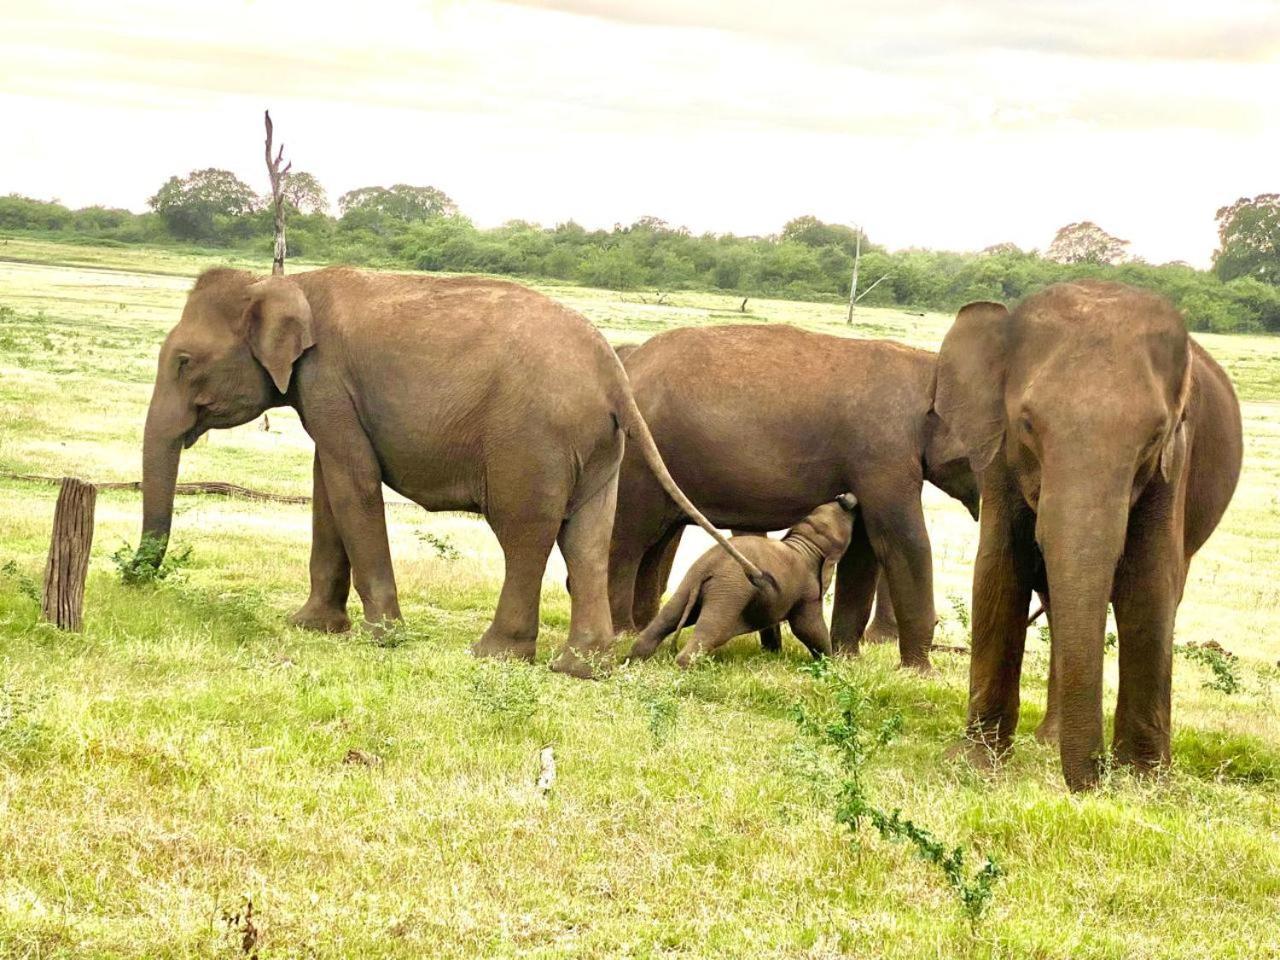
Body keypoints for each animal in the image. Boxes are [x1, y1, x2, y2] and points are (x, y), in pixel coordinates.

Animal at [137, 267, 768, 680]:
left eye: (184, 362)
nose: (137, 578)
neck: (290, 281)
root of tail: (612, 371)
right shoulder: (323, 393)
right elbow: (327, 485)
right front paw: (311, 626)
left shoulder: (329, 381)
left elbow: (351, 483)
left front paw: (385, 637)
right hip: (599, 449)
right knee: (590, 537)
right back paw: (580, 668)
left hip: (529, 441)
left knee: (525, 535)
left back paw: (494, 655)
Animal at [624, 496, 855, 670]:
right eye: (847, 522)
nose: (845, 497)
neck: (806, 543)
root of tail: (708, 569)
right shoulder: (808, 592)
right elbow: (807, 627)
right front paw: (832, 663)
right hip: (729, 592)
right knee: (710, 632)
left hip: (689, 582)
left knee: (667, 618)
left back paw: (632, 661)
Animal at [936, 281, 1244, 793]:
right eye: (1027, 423)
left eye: (1155, 435)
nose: (1096, 778)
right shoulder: (999, 456)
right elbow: (1000, 570)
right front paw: (976, 764)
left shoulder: (1174, 462)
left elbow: (1149, 582)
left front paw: (1144, 782)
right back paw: (1049, 739)